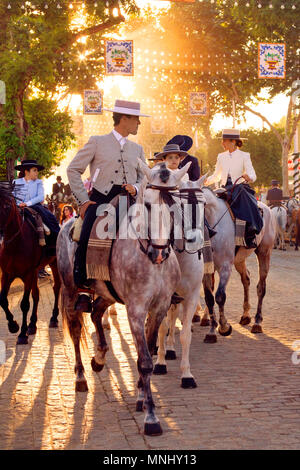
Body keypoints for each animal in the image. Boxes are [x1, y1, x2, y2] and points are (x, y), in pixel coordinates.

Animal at [0, 182, 61, 344]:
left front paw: (21, 334)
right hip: (35, 272)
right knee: (37, 294)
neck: (15, 243)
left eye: (7, 205)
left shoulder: (27, 274)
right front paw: (13, 325)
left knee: (56, 287)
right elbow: (3, 300)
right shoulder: (7, 274)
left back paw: (53, 318)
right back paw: (32, 325)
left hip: (54, 264)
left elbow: (24, 304)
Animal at [57, 162, 191, 436]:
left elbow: (148, 349)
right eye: (147, 204)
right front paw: (151, 417)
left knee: (97, 313)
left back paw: (99, 358)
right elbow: (145, 361)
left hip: (108, 293)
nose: (158, 253)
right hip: (70, 291)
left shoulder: (159, 307)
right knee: (75, 329)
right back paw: (81, 377)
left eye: (174, 204)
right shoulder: (136, 310)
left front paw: (140, 397)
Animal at [200, 182, 276, 340]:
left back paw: (257, 322)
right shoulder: (206, 268)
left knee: (261, 287)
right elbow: (209, 297)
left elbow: (220, 296)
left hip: (264, 253)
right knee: (246, 279)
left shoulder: (225, 266)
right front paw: (212, 330)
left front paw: (224, 327)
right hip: (239, 260)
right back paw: (246, 315)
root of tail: (267, 208)